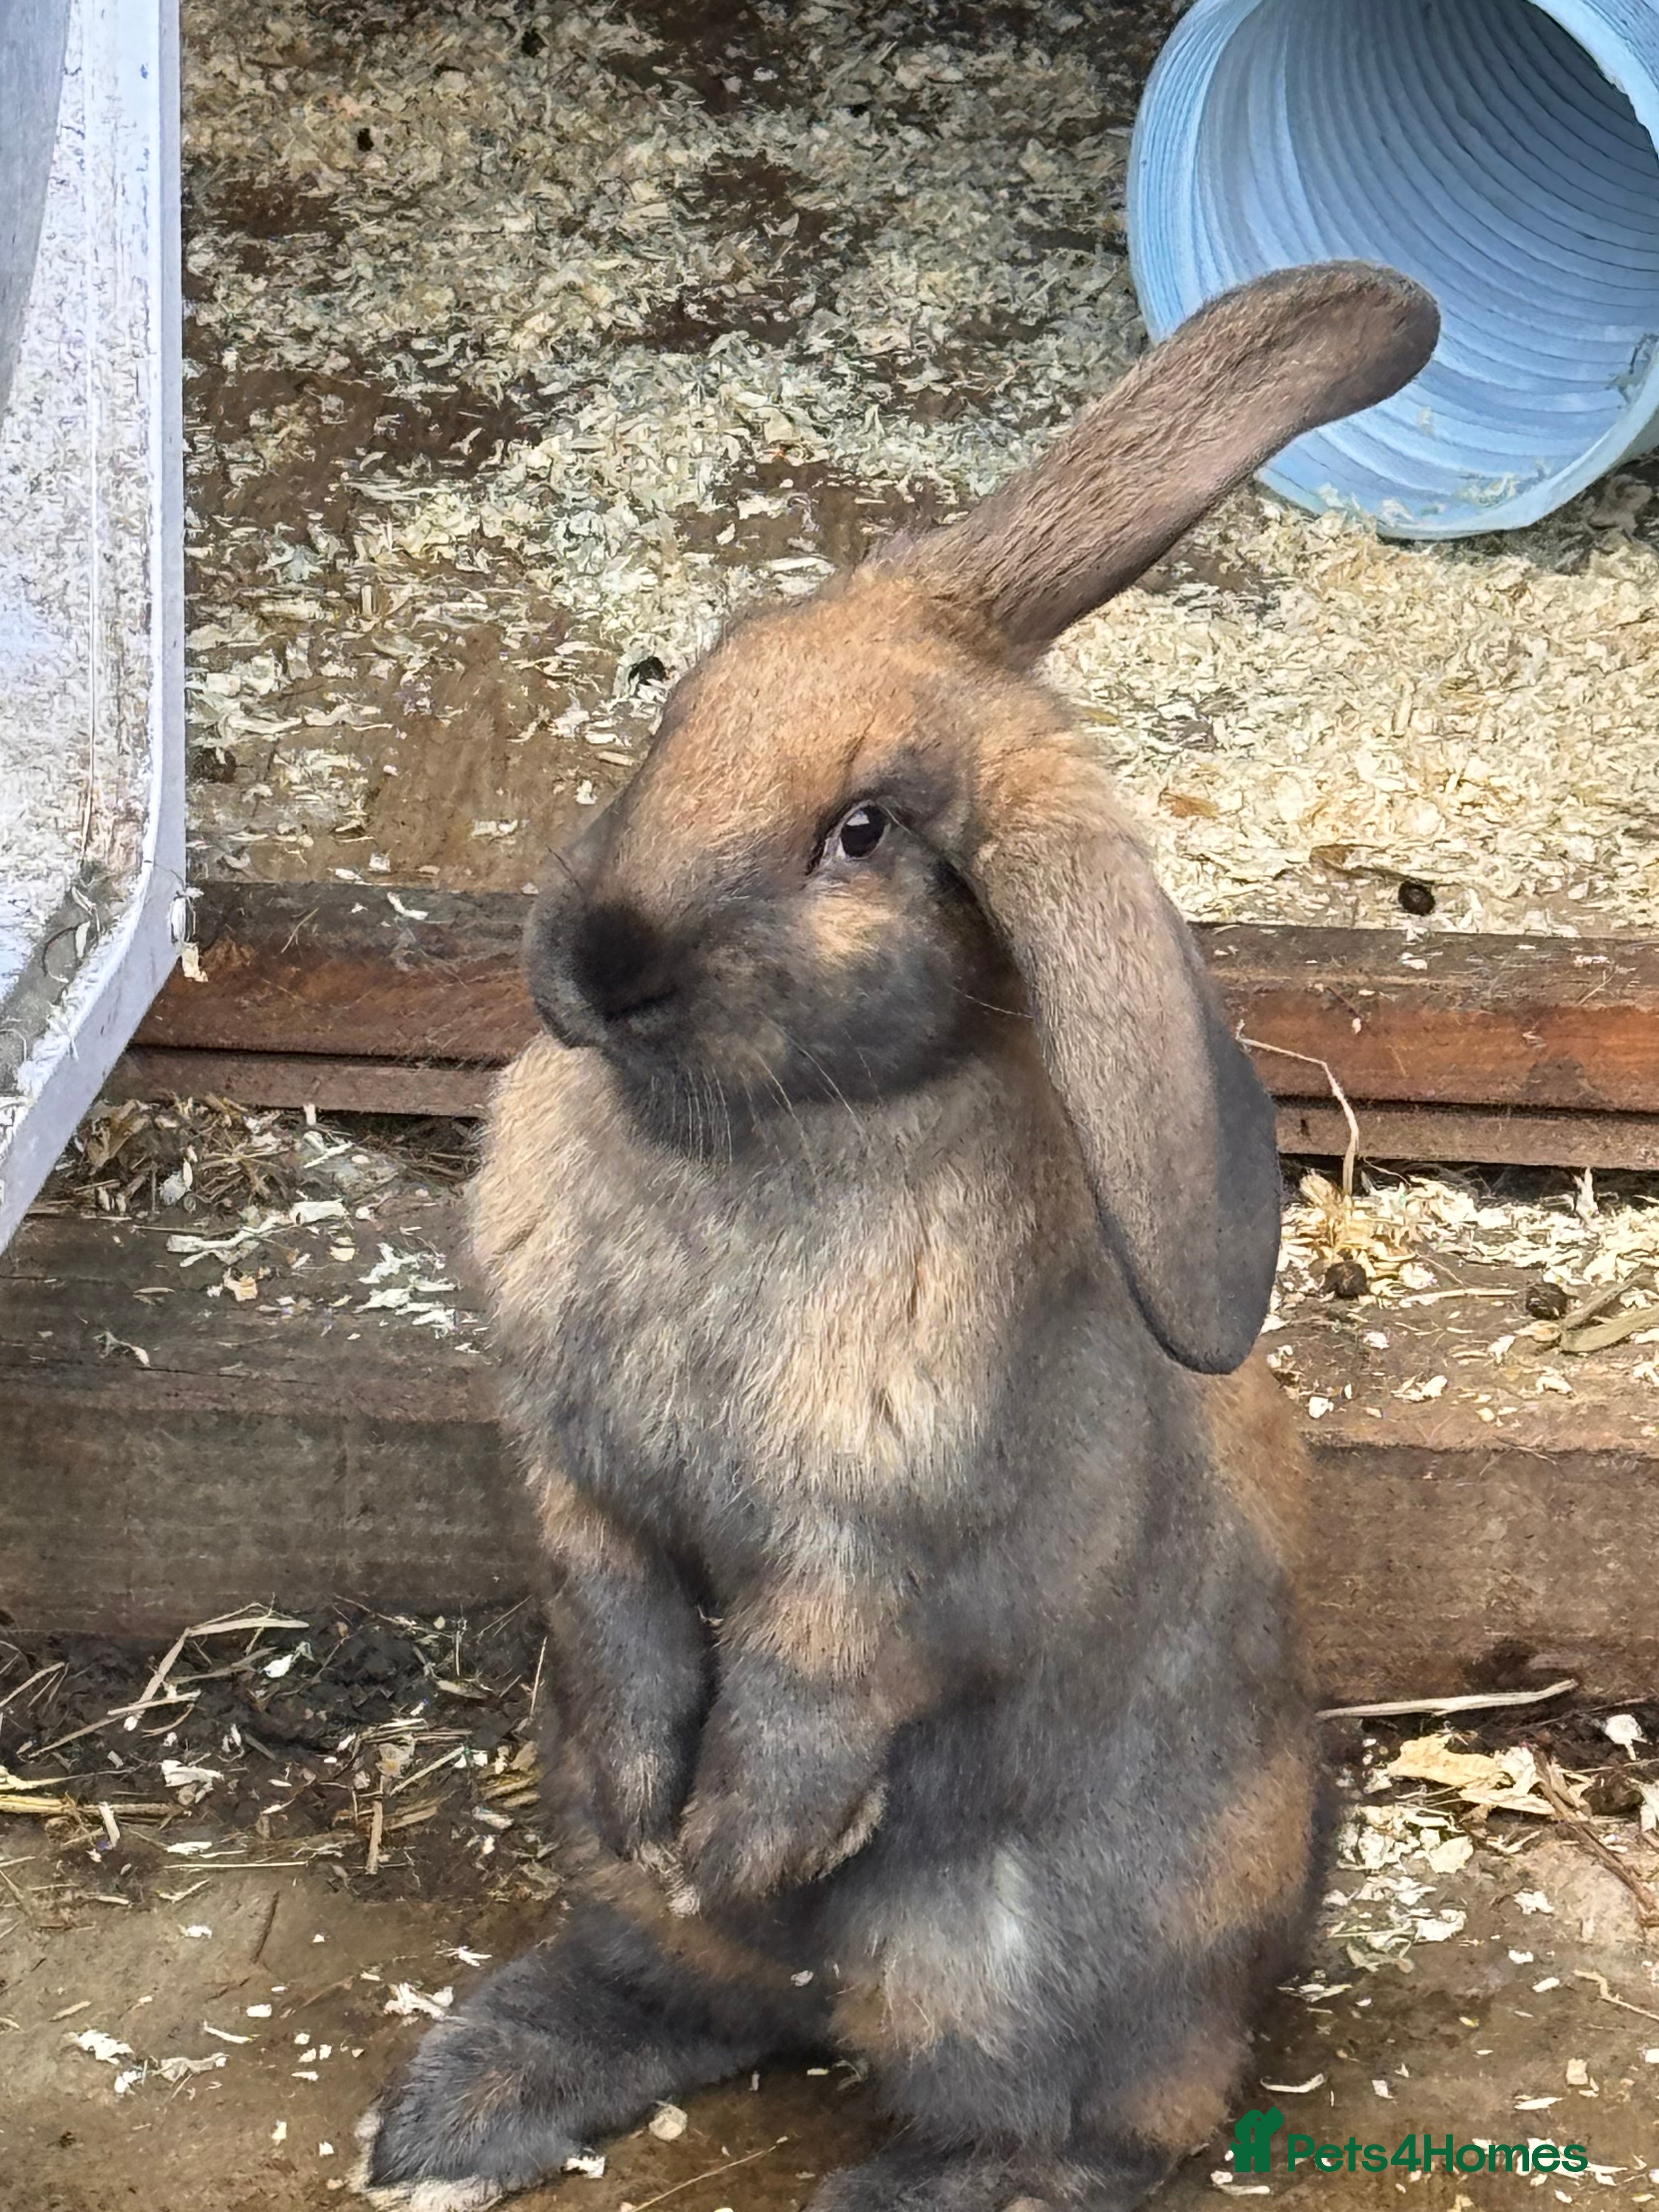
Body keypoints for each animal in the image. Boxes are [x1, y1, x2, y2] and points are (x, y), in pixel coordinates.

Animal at [358, 261, 1439, 2212]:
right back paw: (467, 2103)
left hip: (1024, 1970)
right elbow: (623, 1622)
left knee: (1119, 2124)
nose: (600, 965)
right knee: (692, 1990)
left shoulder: (872, 1549)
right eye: (680, 700)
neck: (758, 1140)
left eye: (861, 832)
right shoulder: (575, 1479)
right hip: (606, 1871)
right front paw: (667, 1810)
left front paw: (743, 1839)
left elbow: (812, 1687)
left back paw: (905, 2174)